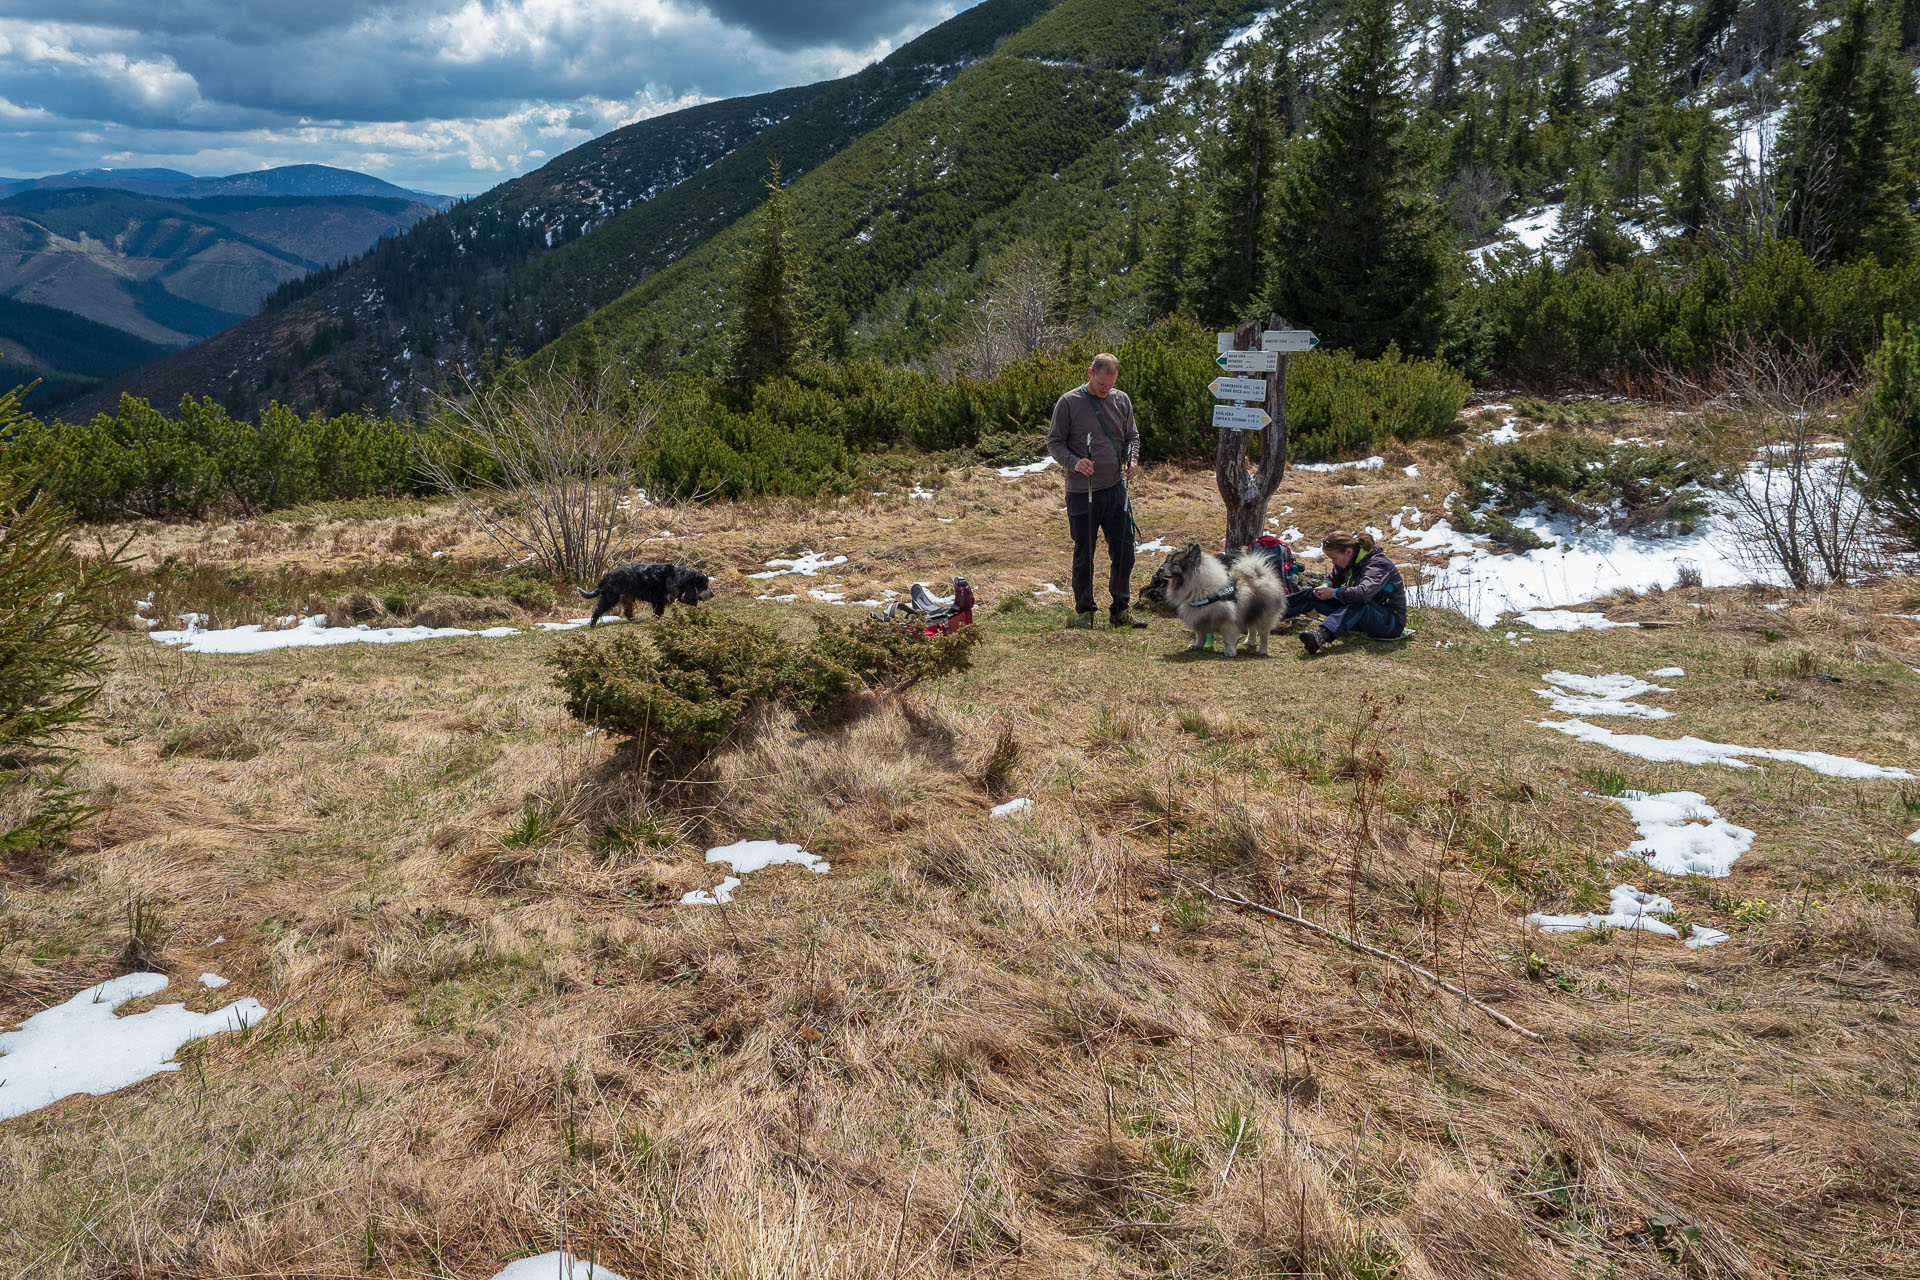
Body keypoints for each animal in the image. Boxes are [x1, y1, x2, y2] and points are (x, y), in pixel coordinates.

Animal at [579, 564, 718, 629]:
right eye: (704, 585)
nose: (712, 594)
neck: (680, 576)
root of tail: (606, 576)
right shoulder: (660, 599)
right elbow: (659, 611)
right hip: (610, 597)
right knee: (597, 610)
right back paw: (593, 624)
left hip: (627, 597)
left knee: (627, 611)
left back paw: (633, 618)